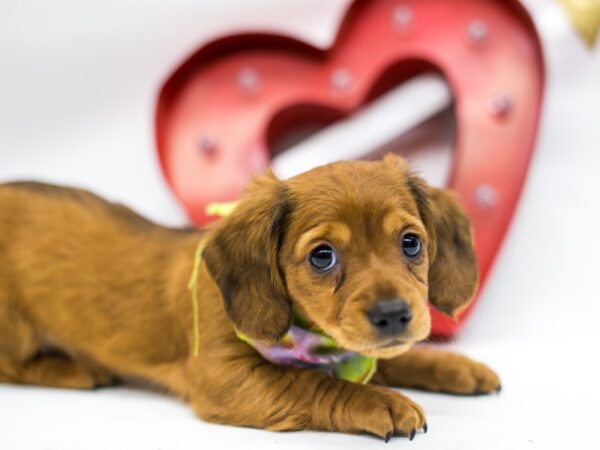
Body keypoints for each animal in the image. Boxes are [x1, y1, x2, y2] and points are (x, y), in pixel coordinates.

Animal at [0, 155, 496, 440]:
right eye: (322, 256)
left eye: (411, 243)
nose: (393, 315)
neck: (309, 336)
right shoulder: (221, 374)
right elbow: (311, 382)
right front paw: (381, 401)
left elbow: (395, 357)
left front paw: (456, 367)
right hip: (14, 330)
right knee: (13, 366)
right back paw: (75, 369)